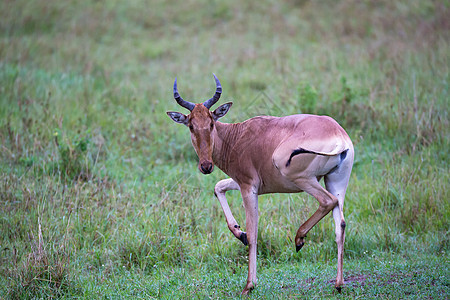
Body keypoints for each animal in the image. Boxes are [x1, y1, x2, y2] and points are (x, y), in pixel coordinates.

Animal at [167, 74, 354, 294]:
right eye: (191, 125)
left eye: (211, 123)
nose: (206, 166)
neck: (237, 135)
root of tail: (339, 136)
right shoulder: (242, 183)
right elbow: (218, 187)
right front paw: (239, 233)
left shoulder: (249, 187)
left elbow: (253, 232)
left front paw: (249, 285)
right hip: (335, 180)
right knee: (340, 224)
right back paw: (338, 283)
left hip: (302, 177)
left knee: (327, 201)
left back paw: (299, 239)